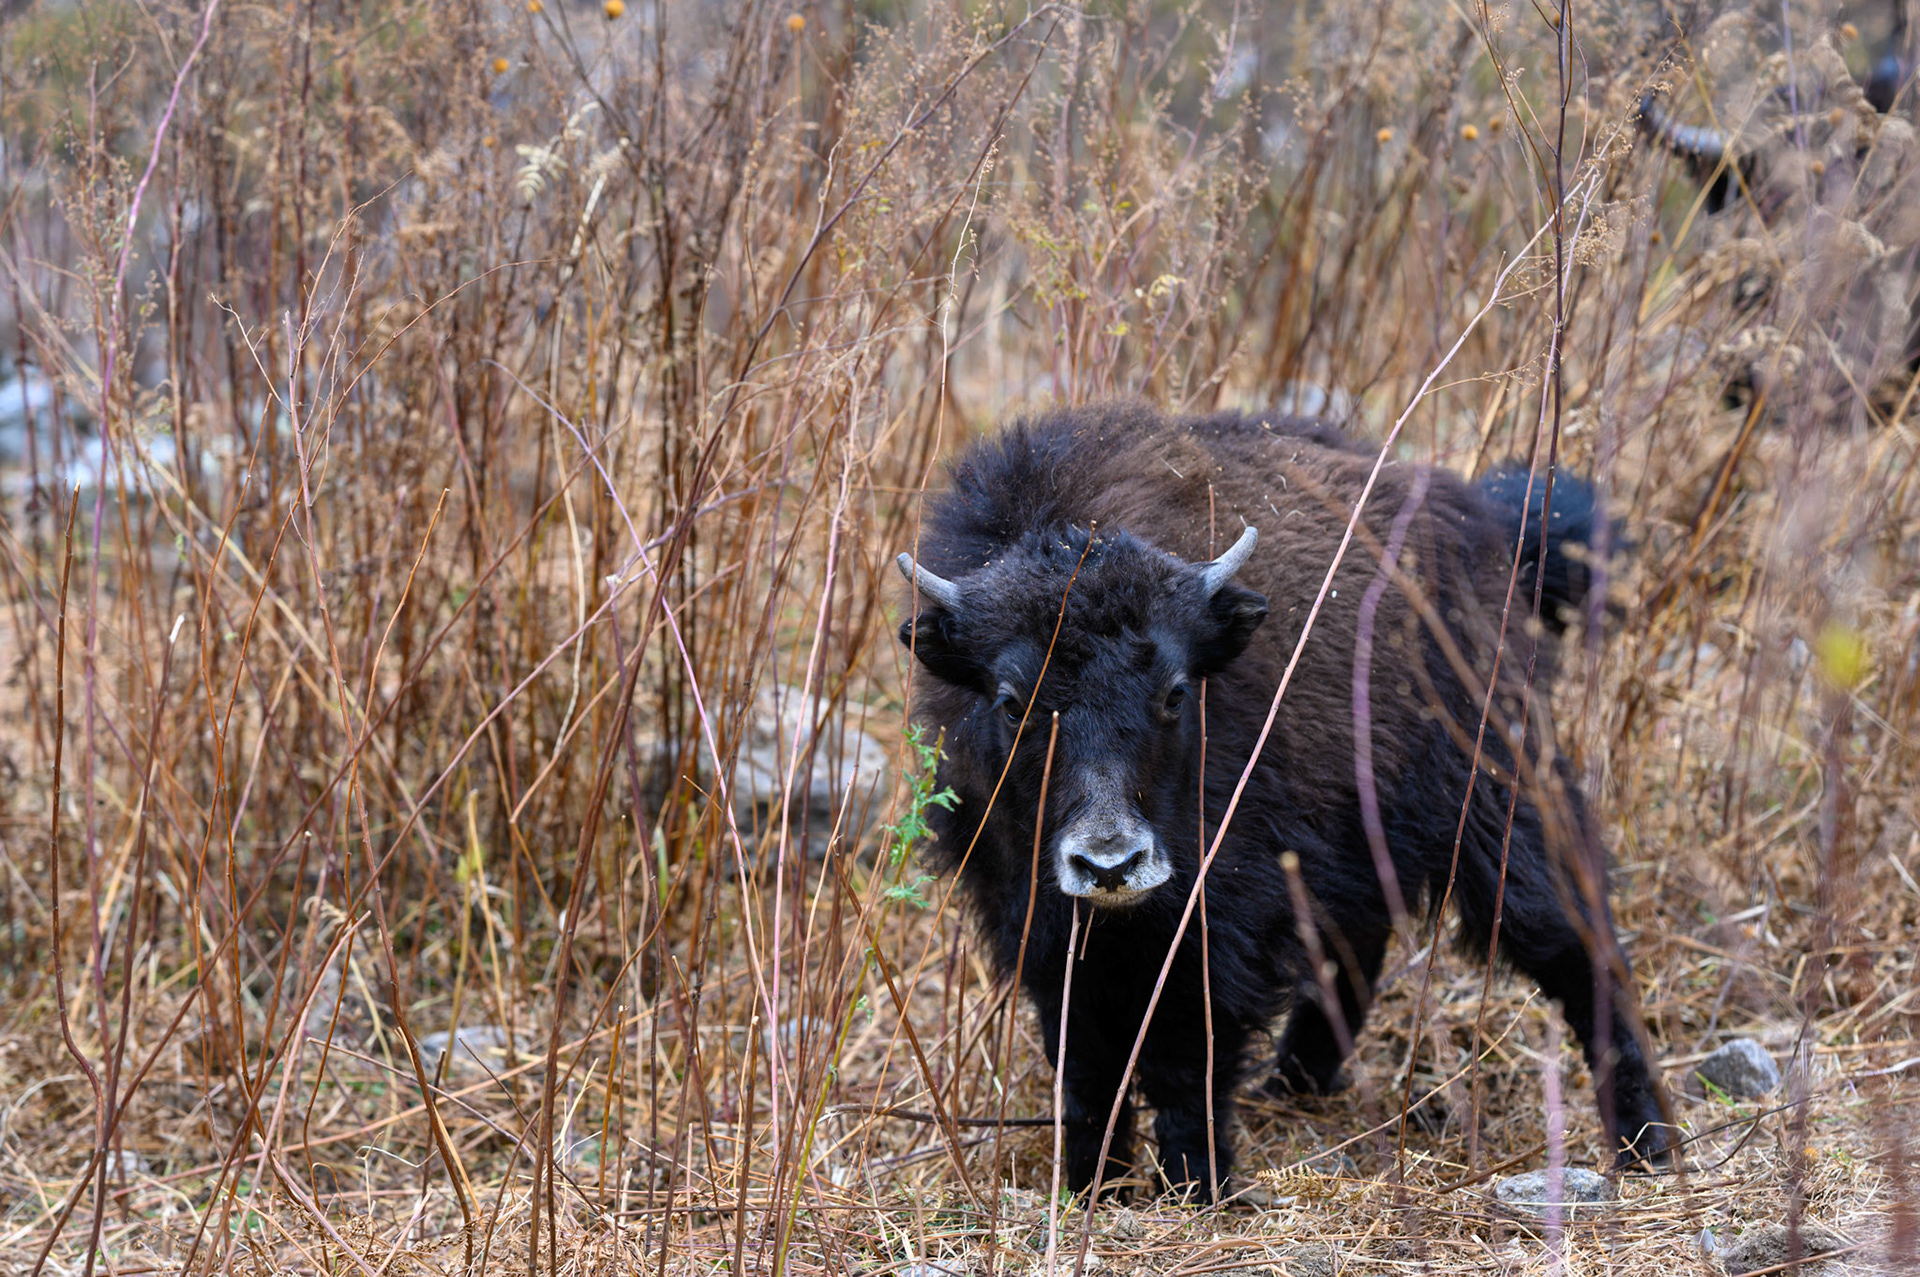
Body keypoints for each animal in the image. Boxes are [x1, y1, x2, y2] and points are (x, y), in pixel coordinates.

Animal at [895, 403, 1670, 1201]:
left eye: (1175, 692)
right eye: (1013, 700)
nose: (1111, 863)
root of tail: (1496, 543)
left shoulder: (1215, 927)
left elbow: (1186, 1062)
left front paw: (1194, 1185)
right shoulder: (1042, 932)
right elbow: (1085, 1071)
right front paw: (1093, 1187)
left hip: (1501, 811)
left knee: (1577, 947)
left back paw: (1645, 1144)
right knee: (1360, 943)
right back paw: (1295, 1082)